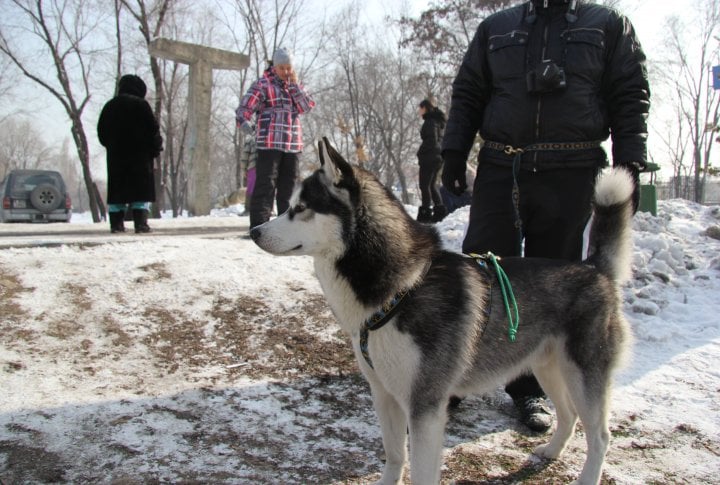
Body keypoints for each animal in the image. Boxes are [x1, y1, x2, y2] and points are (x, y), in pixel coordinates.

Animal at [250, 137, 632, 484]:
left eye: (300, 207)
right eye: (289, 205)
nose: (254, 231)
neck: (401, 289)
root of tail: (594, 268)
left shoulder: (425, 407)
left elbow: (420, 471)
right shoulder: (384, 393)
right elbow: (394, 455)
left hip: (583, 375)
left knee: (600, 436)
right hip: (547, 368)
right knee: (568, 415)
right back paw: (551, 451)